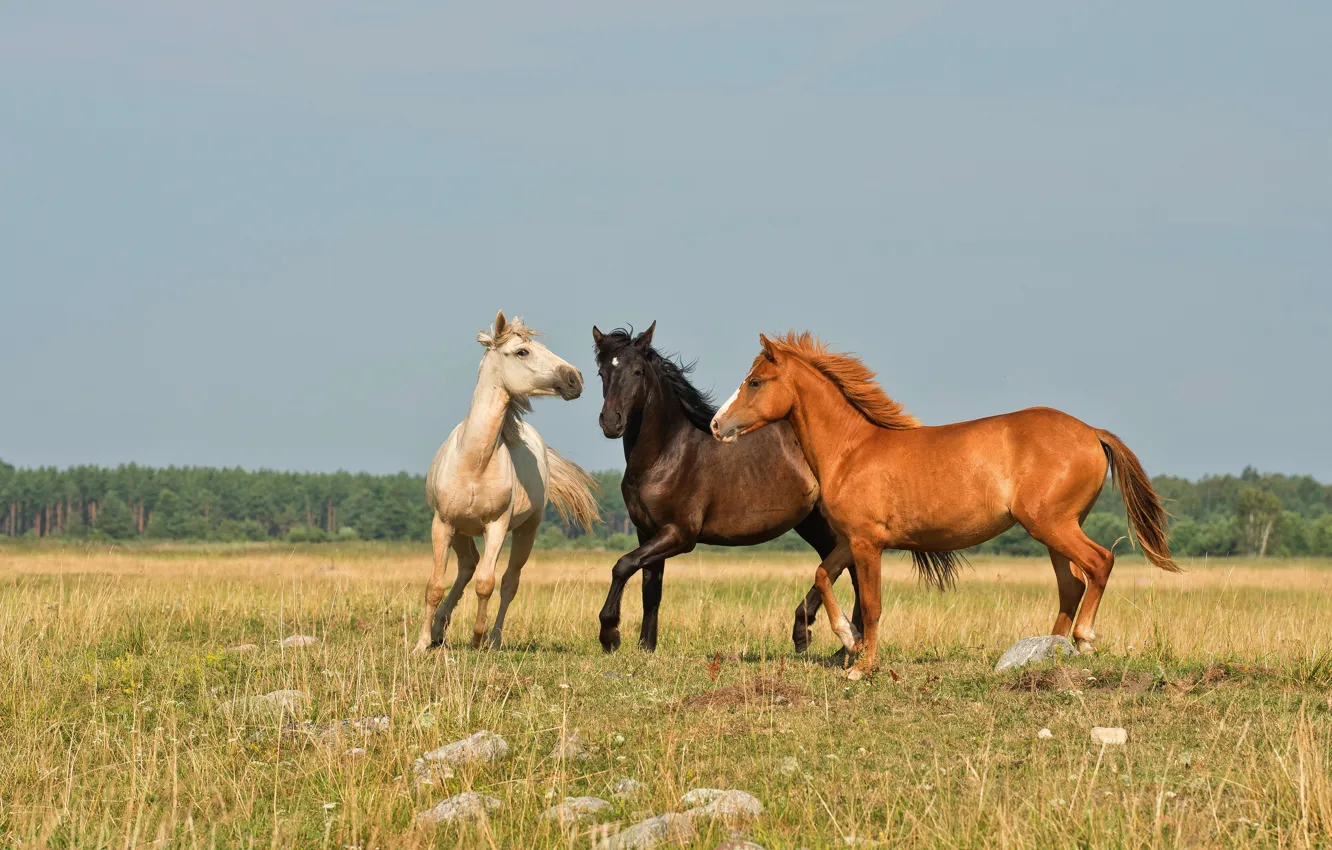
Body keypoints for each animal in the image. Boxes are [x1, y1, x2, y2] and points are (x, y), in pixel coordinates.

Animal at [417, 311, 599, 652]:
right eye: (522, 351)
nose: (576, 378)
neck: (474, 462)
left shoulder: (497, 526)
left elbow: (486, 584)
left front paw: (477, 639)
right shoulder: (442, 523)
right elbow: (434, 585)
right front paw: (421, 644)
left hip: (527, 530)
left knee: (508, 582)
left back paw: (494, 638)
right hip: (460, 530)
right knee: (467, 566)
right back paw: (438, 629)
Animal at [591, 321, 862, 654]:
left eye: (637, 371)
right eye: (602, 372)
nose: (611, 422)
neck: (666, 454)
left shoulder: (680, 534)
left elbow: (623, 565)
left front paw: (610, 635)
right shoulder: (648, 532)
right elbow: (650, 590)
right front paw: (646, 647)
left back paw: (828, 637)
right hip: (812, 523)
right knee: (839, 565)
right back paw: (827, 638)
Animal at [711, 331, 1178, 680]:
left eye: (755, 381)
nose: (717, 425)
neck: (852, 451)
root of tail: (1091, 432)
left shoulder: (867, 544)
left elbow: (873, 604)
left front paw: (863, 665)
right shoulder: (850, 540)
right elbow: (823, 575)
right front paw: (847, 639)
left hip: (1054, 525)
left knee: (1099, 563)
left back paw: (1083, 640)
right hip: (1052, 531)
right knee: (1072, 585)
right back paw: (1049, 650)